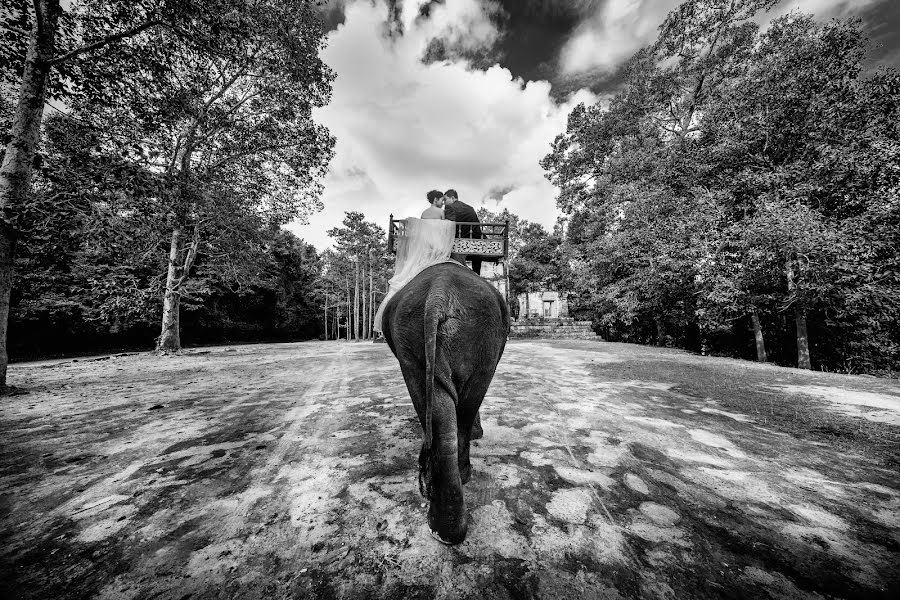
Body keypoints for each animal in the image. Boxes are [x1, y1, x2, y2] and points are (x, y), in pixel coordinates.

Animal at [380, 262, 506, 544]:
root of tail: (439, 291)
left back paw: (445, 528)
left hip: (411, 334)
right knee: (466, 404)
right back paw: (461, 481)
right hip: (481, 337)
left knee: (434, 401)